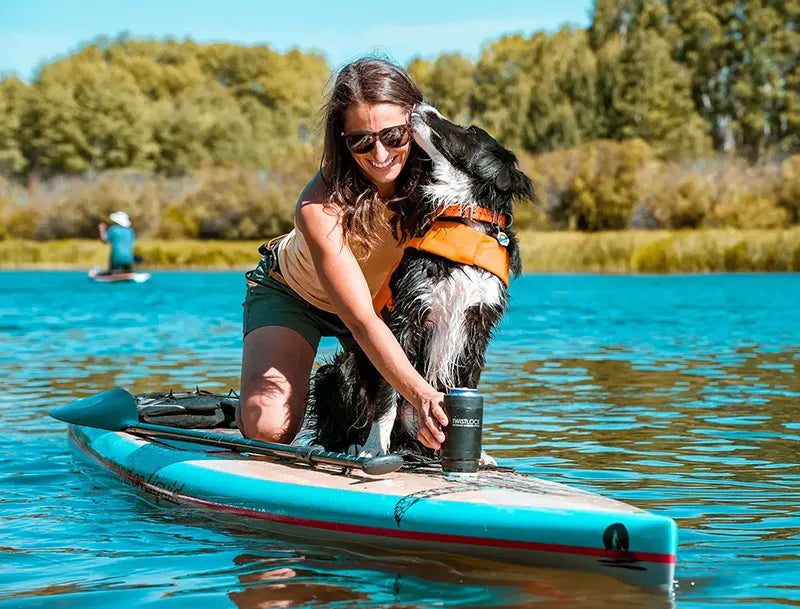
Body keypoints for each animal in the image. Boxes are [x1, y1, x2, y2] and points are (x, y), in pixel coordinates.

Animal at [304, 105, 536, 460]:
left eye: (470, 129)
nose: (420, 107)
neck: (465, 223)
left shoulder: (478, 325)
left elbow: (469, 382)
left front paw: (476, 452)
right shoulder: (408, 317)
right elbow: (388, 395)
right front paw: (375, 447)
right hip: (340, 370)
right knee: (337, 428)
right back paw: (354, 444)